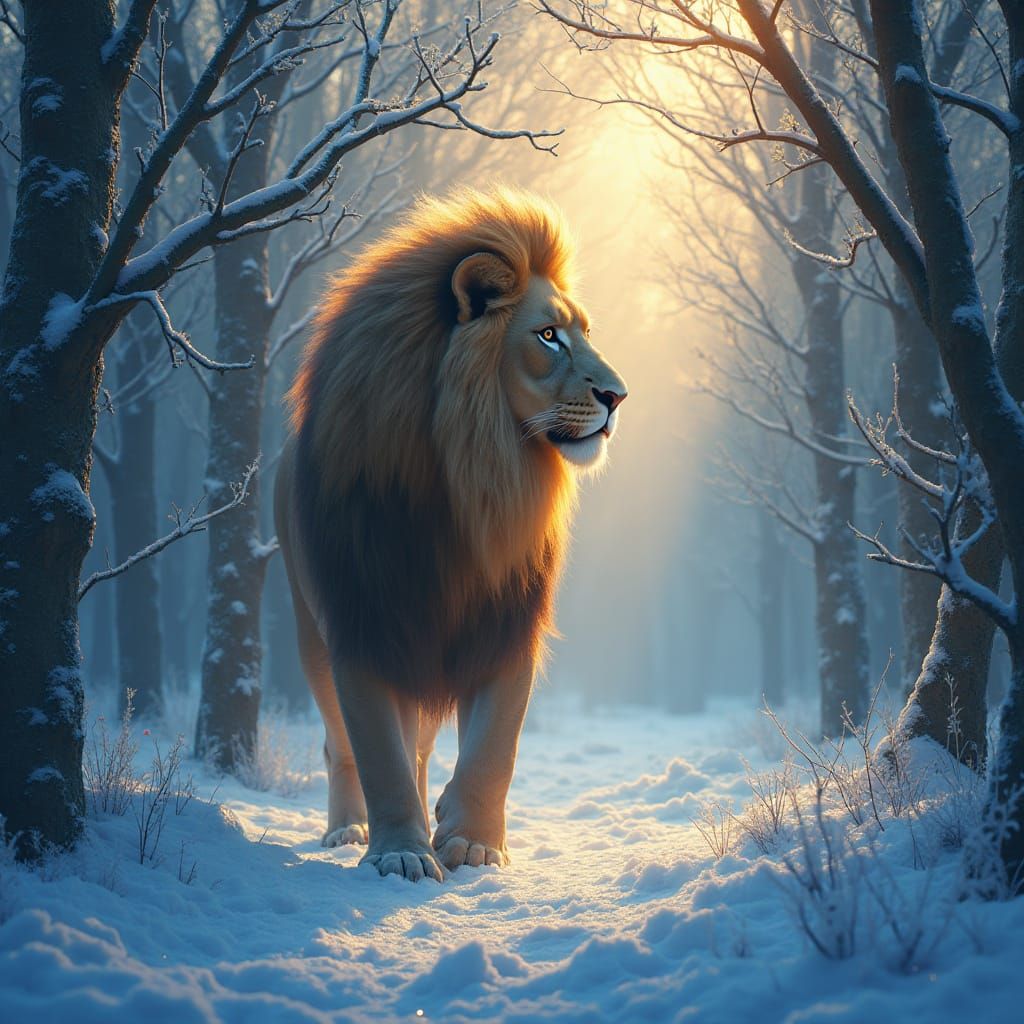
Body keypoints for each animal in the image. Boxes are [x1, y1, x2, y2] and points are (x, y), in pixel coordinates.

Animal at [274, 187, 627, 882]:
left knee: (419, 746)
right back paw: (347, 830)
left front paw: (471, 843)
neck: (472, 482)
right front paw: (401, 854)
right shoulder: (364, 624)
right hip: (309, 631)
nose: (618, 397)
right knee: (342, 746)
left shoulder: (507, 621)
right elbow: (378, 753)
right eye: (548, 336)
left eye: (583, 333)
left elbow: (495, 748)